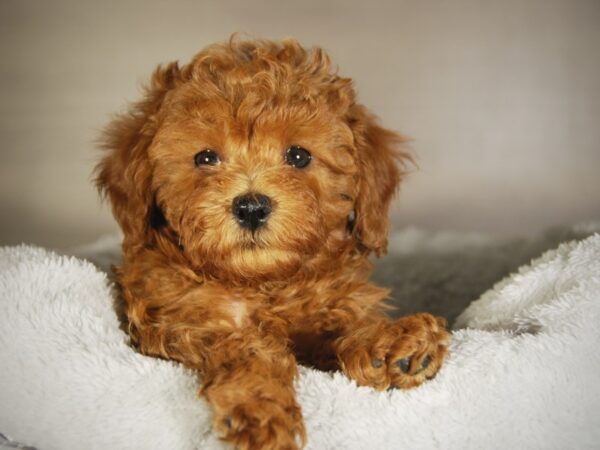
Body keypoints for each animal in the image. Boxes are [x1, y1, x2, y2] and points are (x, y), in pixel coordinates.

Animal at [95, 37, 450, 450]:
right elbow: (247, 347)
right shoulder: (176, 323)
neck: (261, 284)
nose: (251, 206)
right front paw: (262, 410)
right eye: (205, 157)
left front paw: (391, 341)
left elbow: (341, 325)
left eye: (298, 156)